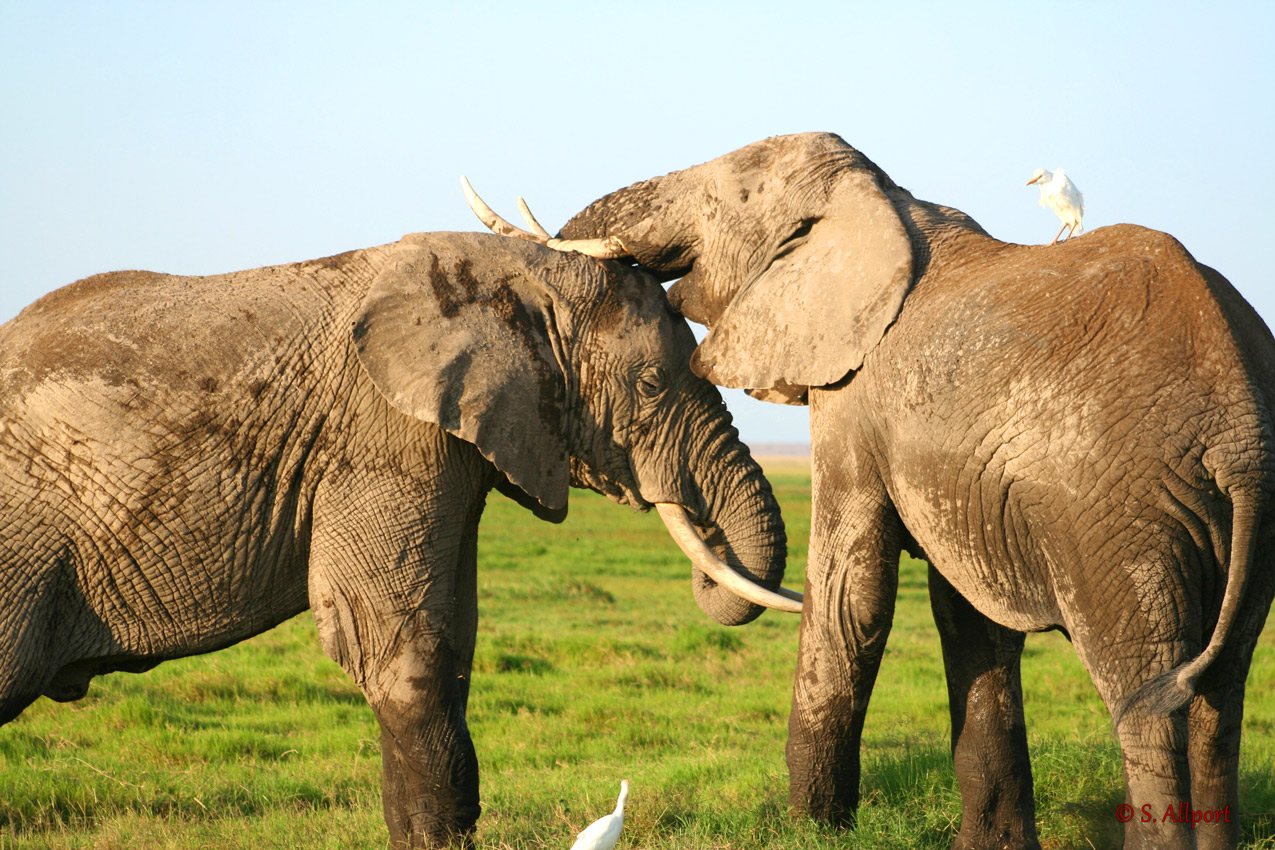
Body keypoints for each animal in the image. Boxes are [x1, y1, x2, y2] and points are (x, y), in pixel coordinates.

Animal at [534, 132, 1275, 850]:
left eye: (735, 194)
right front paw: (987, 846)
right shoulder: (965, 476)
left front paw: (812, 831)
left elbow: (850, 595)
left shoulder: (853, 395)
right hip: (1239, 513)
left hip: (1117, 515)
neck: (877, 200)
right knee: (1219, 690)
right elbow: (970, 621)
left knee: (1142, 693)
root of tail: (1239, 425)